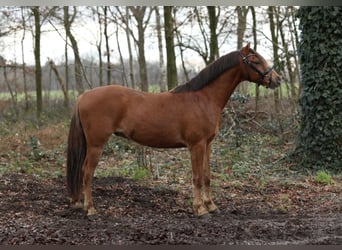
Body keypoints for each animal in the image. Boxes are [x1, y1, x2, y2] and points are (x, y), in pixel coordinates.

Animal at [67, 43, 280, 217]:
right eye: (255, 60)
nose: (278, 79)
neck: (203, 98)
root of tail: (83, 96)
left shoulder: (207, 145)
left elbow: (207, 176)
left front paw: (211, 206)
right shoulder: (196, 145)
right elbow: (197, 177)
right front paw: (200, 209)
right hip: (96, 144)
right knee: (87, 172)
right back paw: (91, 209)